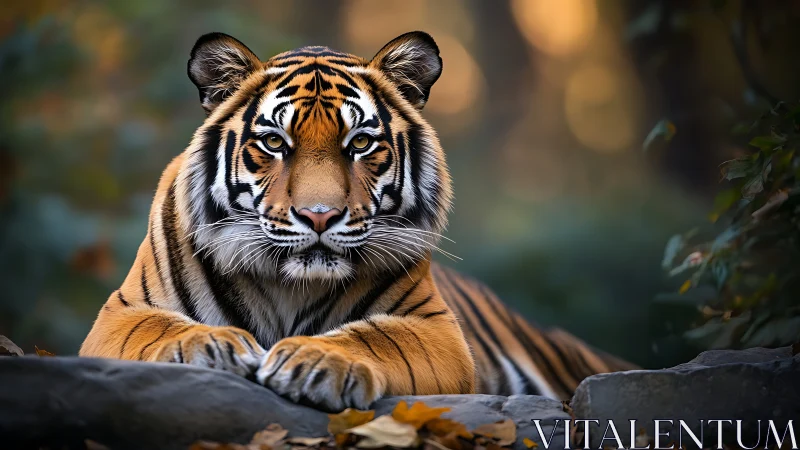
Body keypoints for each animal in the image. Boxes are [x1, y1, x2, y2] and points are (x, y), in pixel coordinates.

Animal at [80, 31, 636, 412]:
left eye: (361, 143)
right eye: (274, 142)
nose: (319, 215)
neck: (290, 288)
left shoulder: (434, 327)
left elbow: (374, 336)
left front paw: (315, 362)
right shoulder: (120, 312)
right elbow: (160, 328)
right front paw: (210, 347)